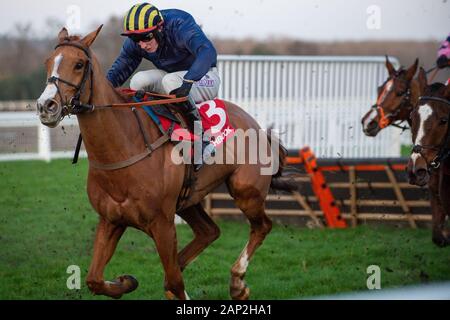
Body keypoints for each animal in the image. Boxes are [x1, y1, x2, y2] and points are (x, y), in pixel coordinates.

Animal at [36, 26, 296, 300]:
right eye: (47, 62)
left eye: (79, 64)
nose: (46, 106)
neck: (123, 148)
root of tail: (258, 127)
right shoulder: (111, 220)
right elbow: (94, 279)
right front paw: (126, 281)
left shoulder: (162, 223)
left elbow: (175, 281)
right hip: (188, 200)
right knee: (209, 232)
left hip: (246, 191)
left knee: (262, 226)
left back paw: (237, 282)